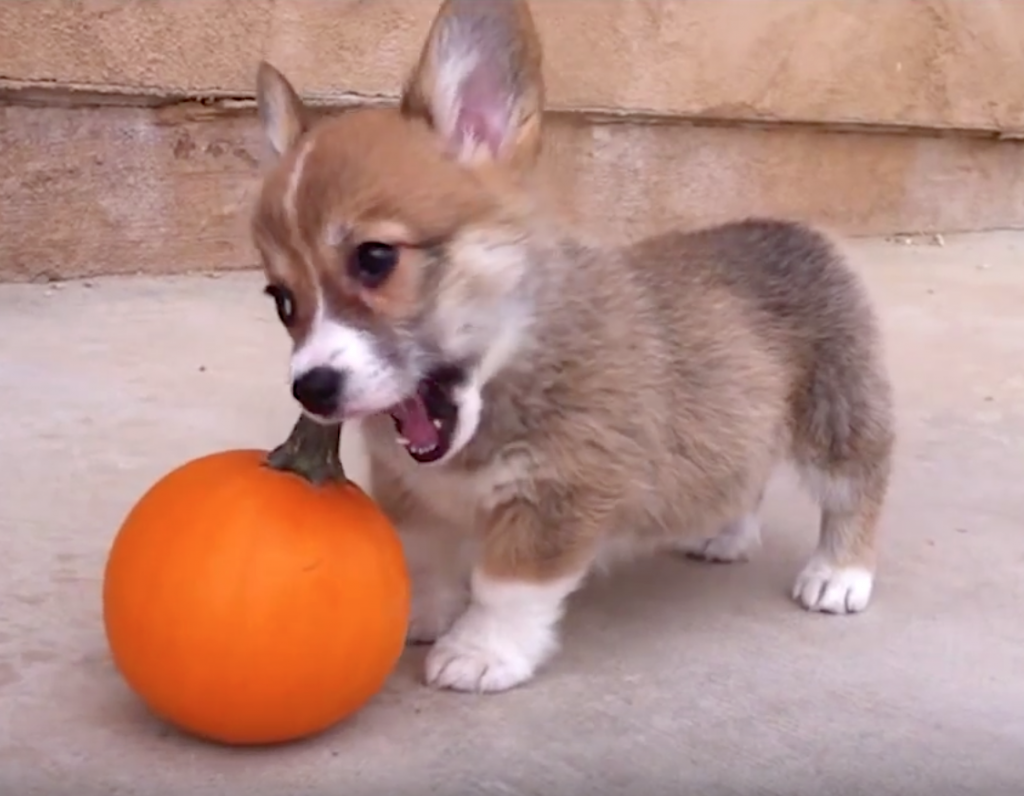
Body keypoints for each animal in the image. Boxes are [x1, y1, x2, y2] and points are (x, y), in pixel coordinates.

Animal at [249, 0, 897, 688]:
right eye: (281, 300)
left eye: (374, 258)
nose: (311, 389)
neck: (507, 372)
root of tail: (796, 228)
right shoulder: (413, 492)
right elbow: (425, 556)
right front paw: (420, 612)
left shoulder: (560, 495)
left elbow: (505, 586)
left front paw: (479, 651)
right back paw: (725, 534)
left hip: (836, 418)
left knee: (857, 486)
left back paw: (838, 574)